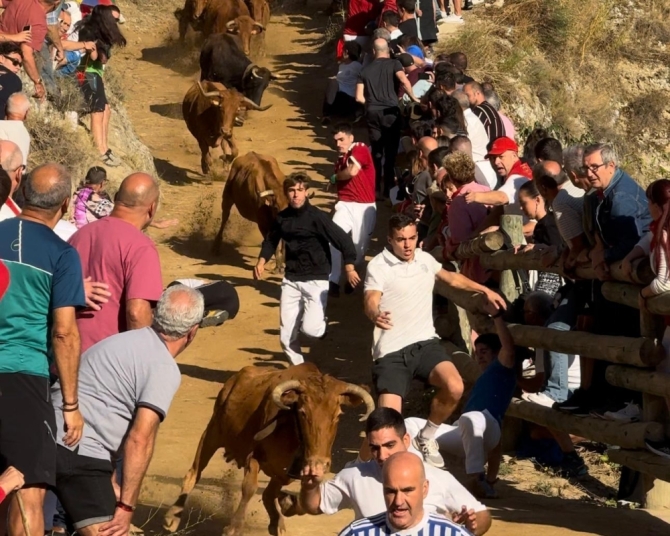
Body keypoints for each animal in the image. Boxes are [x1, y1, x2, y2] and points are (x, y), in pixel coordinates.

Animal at [161, 362, 376, 532]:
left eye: (338, 414)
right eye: (303, 412)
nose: (320, 463)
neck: (292, 432)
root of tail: (236, 378)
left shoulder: (288, 472)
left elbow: (277, 495)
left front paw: (286, 507)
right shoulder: (253, 457)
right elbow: (249, 488)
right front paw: (234, 527)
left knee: (268, 493)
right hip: (212, 434)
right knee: (194, 473)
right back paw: (173, 517)